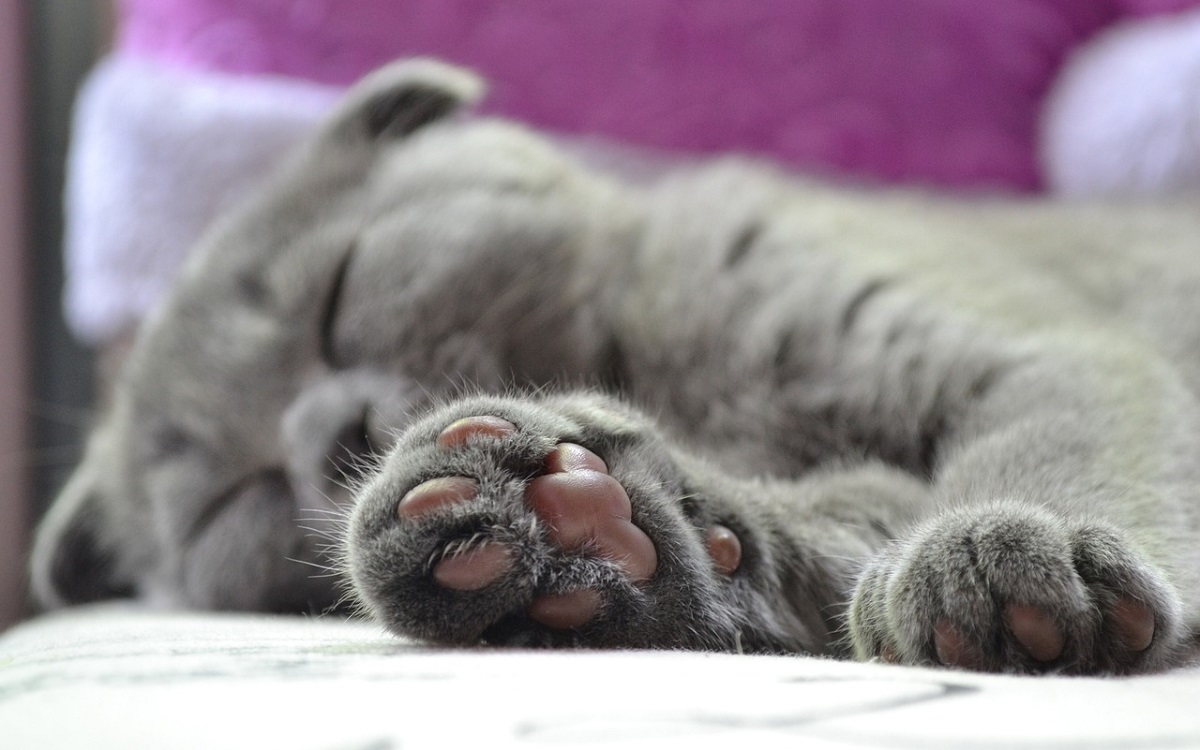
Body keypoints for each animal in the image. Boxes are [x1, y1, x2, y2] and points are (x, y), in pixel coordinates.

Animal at [25, 61, 1200, 676]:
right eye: (233, 500)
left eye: (337, 294)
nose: (332, 437)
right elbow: (836, 517)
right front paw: (613, 528)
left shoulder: (1030, 350)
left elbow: (1054, 428)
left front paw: (1005, 549)